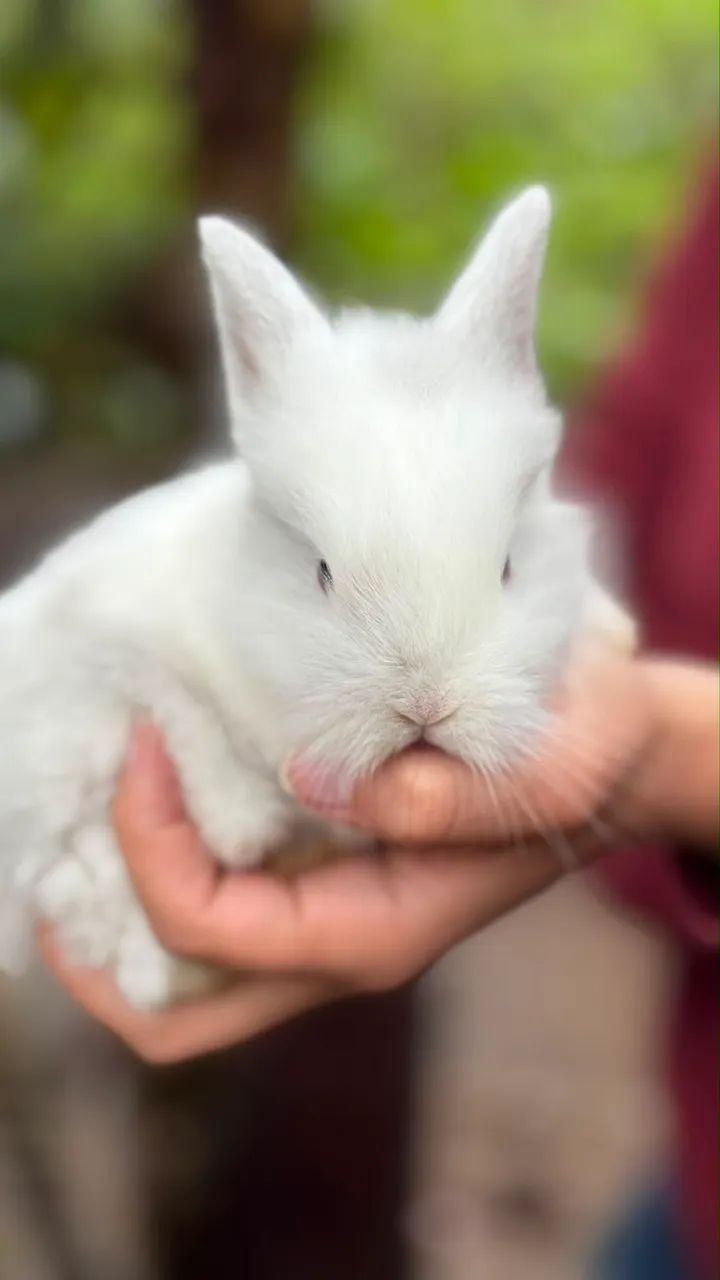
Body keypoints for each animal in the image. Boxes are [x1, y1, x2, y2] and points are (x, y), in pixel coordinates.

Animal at [0, 186, 634, 1011]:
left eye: (506, 568)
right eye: (323, 572)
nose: (425, 708)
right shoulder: (108, 638)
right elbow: (176, 712)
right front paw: (240, 827)